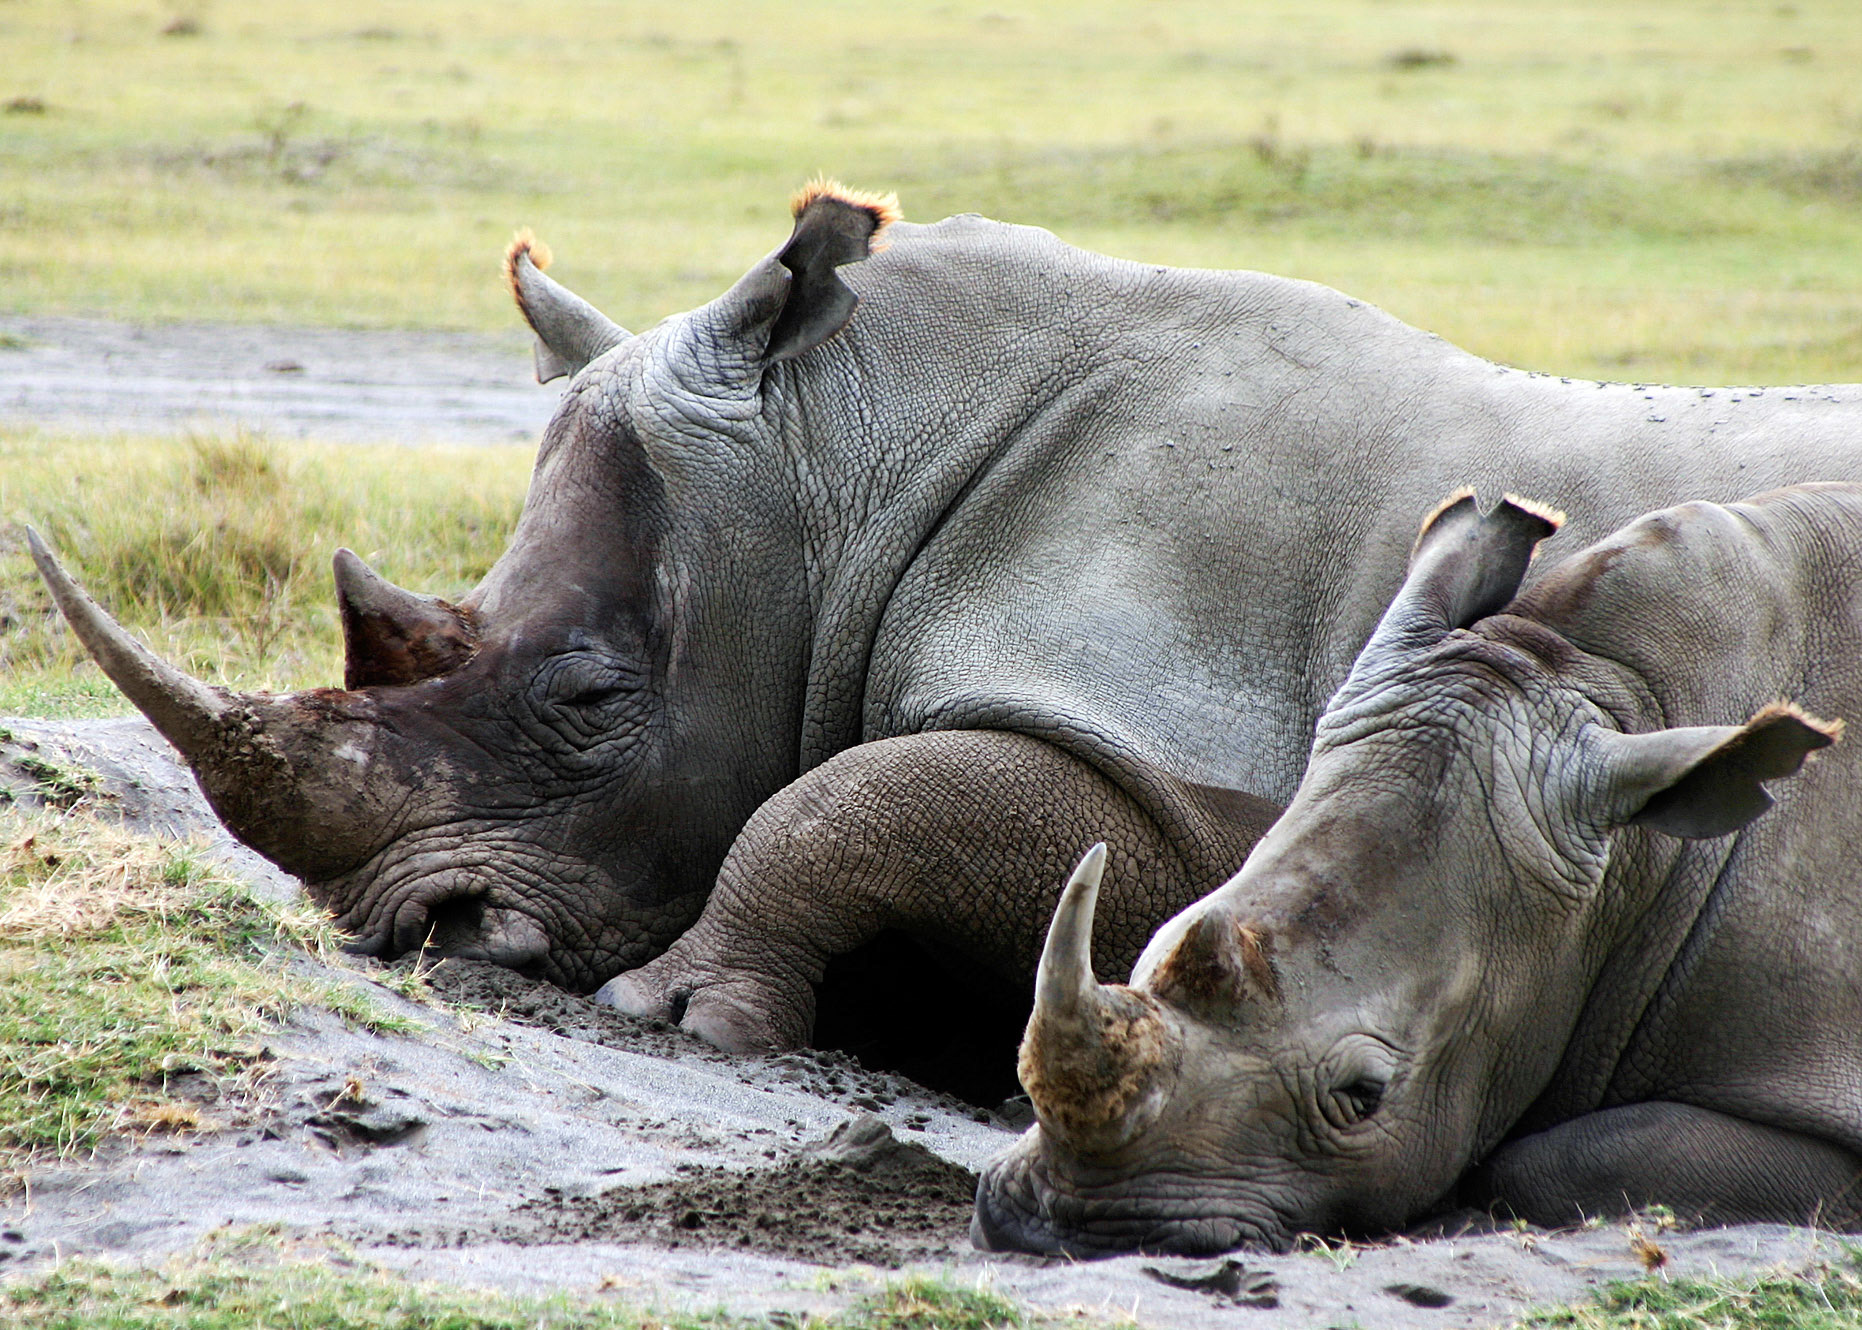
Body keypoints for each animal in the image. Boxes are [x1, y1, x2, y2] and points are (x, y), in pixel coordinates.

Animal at [28, 182, 1862, 1058]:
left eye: (592, 696)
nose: (415, 932)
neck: (840, 460)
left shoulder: (1191, 772)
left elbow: (843, 800)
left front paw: (673, 1015)